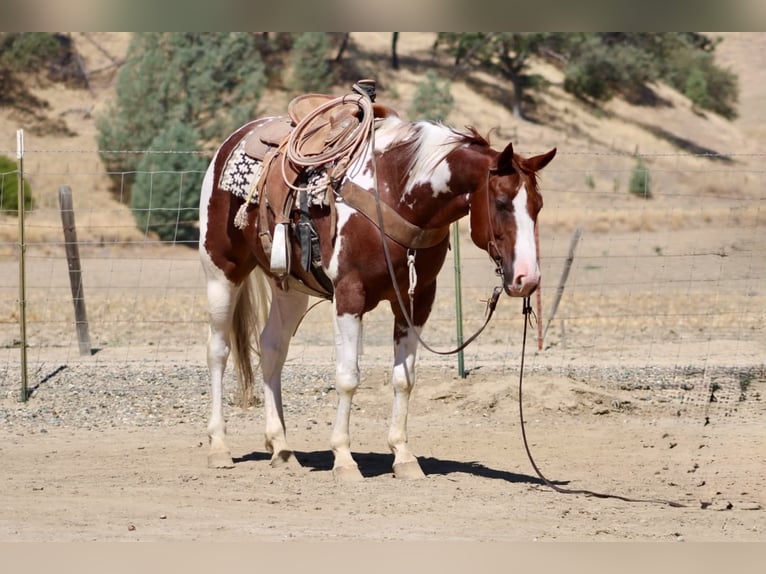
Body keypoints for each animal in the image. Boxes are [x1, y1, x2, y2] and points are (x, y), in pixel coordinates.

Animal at [198, 93, 556, 481]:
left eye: (538, 206)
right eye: (502, 203)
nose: (527, 279)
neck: (395, 192)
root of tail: (234, 139)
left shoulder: (417, 300)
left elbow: (404, 378)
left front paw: (403, 456)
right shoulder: (349, 295)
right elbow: (348, 377)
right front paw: (343, 459)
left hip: (289, 287)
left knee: (272, 348)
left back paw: (280, 447)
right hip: (222, 270)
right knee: (218, 350)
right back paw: (219, 446)